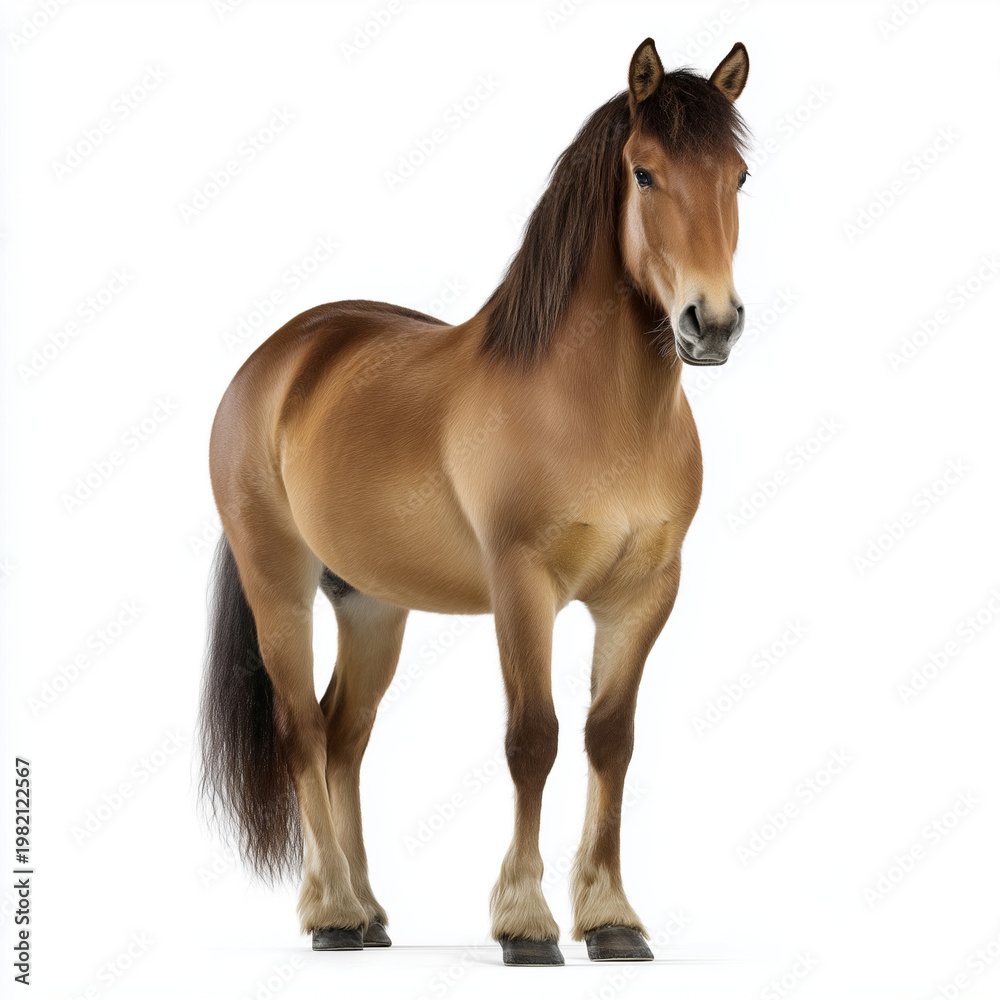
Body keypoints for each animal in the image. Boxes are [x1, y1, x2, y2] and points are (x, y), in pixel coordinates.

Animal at [199, 36, 751, 967]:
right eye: (644, 172)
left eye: (740, 175)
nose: (709, 324)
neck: (595, 407)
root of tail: (278, 359)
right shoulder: (522, 587)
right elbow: (534, 739)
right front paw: (526, 924)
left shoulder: (644, 593)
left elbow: (610, 739)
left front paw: (611, 919)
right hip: (280, 586)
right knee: (303, 733)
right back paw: (332, 912)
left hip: (372, 605)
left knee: (345, 736)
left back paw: (371, 913)